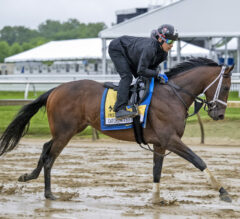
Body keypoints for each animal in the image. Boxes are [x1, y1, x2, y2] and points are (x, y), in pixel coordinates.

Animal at [0, 57, 233, 203]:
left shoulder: (160, 143)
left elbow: (156, 171)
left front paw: (156, 199)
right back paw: (49, 193)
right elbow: (198, 161)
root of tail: (56, 89)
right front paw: (223, 191)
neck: (173, 95)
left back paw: (29, 176)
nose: (219, 114)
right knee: (50, 156)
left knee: (45, 148)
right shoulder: (170, 139)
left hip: (68, 130)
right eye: (227, 87)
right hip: (65, 131)